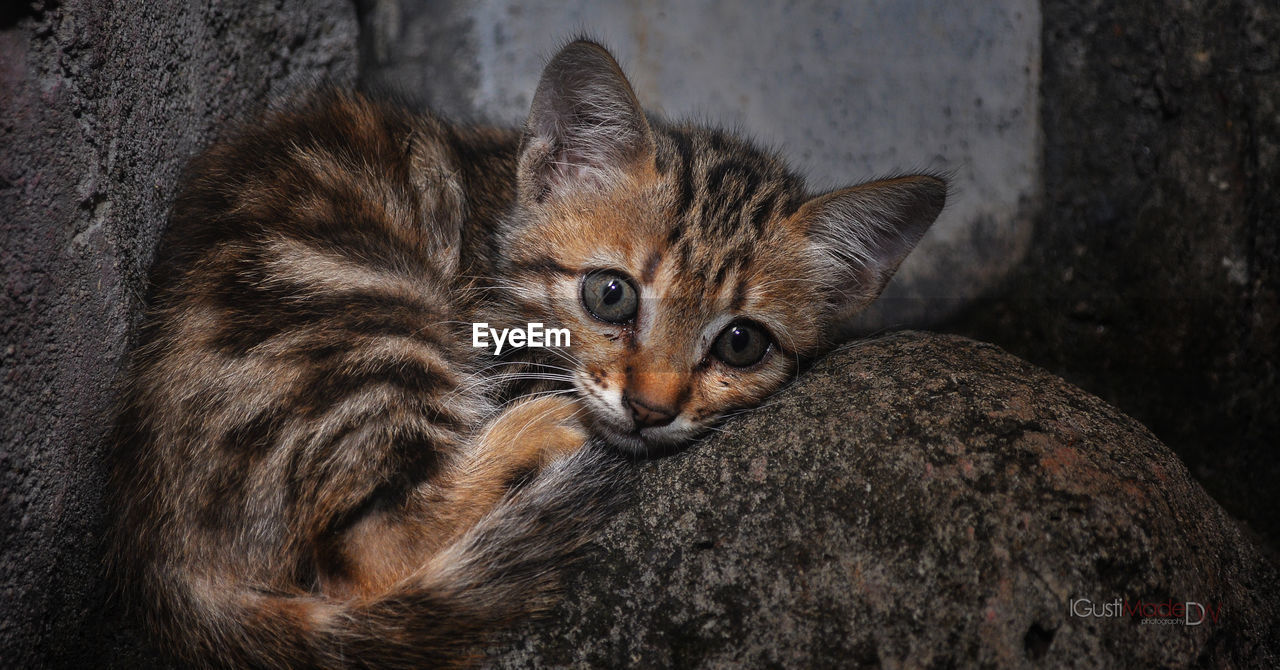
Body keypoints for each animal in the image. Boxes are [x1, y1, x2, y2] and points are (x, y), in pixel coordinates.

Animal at [110, 39, 947, 666]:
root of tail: (166, 556)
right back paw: (538, 431)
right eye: (610, 295)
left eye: (742, 342)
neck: (503, 221)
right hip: (370, 311)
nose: (649, 409)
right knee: (363, 547)